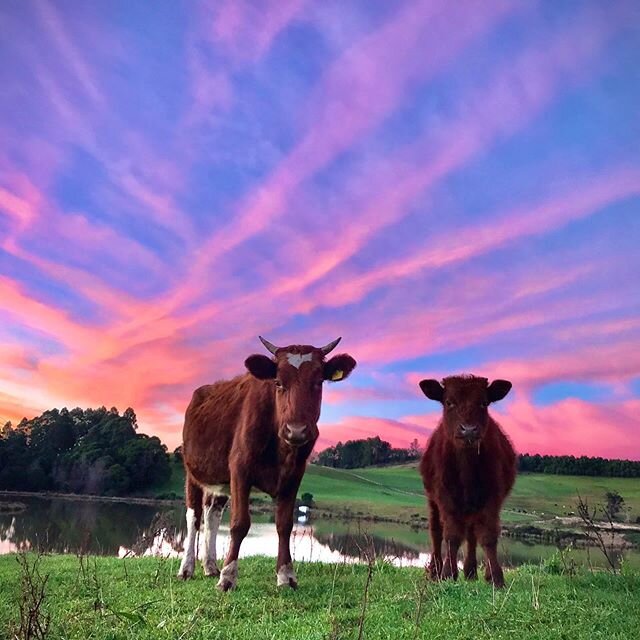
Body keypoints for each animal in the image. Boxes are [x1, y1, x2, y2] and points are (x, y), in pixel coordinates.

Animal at [176, 336, 356, 592]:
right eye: (278, 382)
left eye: (318, 382)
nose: (296, 430)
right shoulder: (240, 468)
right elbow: (239, 523)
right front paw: (228, 577)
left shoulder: (294, 475)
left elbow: (284, 525)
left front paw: (286, 576)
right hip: (193, 471)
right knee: (194, 516)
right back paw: (187, 568)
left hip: (219, 480)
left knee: (212, 515)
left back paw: (210, 566)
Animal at [418, 376, 516, 592]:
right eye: (449, 402)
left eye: (484, 403)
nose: (469, 430)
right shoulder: (445, 497)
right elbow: (451, 536)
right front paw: (447, 574)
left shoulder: (492, 498)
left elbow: (488, 536)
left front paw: (496, 578)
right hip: (432, 501)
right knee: (436, 532)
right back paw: (435, 571)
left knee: (471, 535)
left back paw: (471, 572)